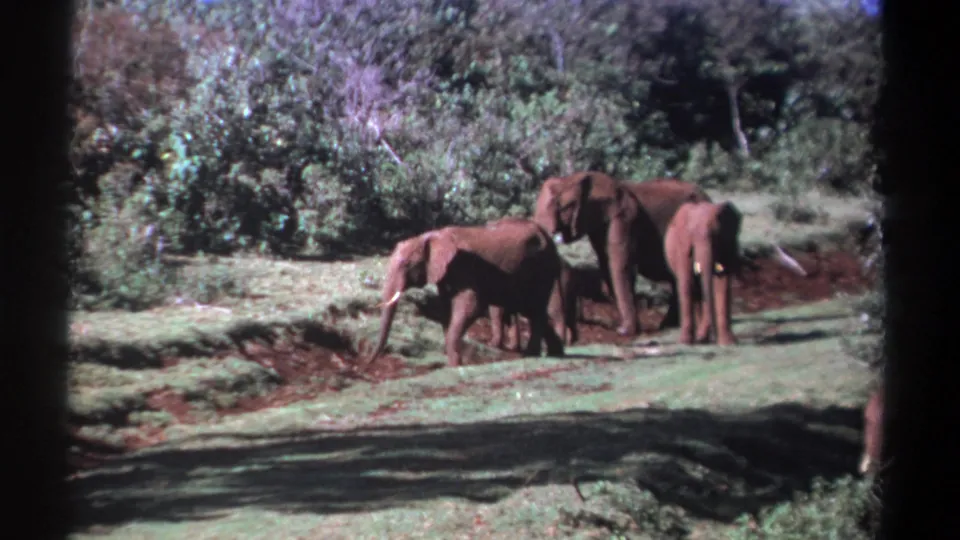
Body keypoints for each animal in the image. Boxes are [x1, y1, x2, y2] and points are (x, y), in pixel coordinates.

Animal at [363, 219, 566, 369]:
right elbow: (446, 309)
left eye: (406, 265)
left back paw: (533, 354)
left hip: (543, 266)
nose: (367, 363)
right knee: (531, 309)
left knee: (535, 308)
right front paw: (452, 363)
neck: (430, 236)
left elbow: (472, 306)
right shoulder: (446, 272)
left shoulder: (464, 267)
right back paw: (556, 352)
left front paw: (455, 365)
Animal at [533, 172, 711, 337]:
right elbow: (607, 265)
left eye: (566, 207)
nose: (621, 330)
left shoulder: (625, 217)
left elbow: (621, 265)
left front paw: (625, 331)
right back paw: (668, 326)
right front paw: (625, 328)